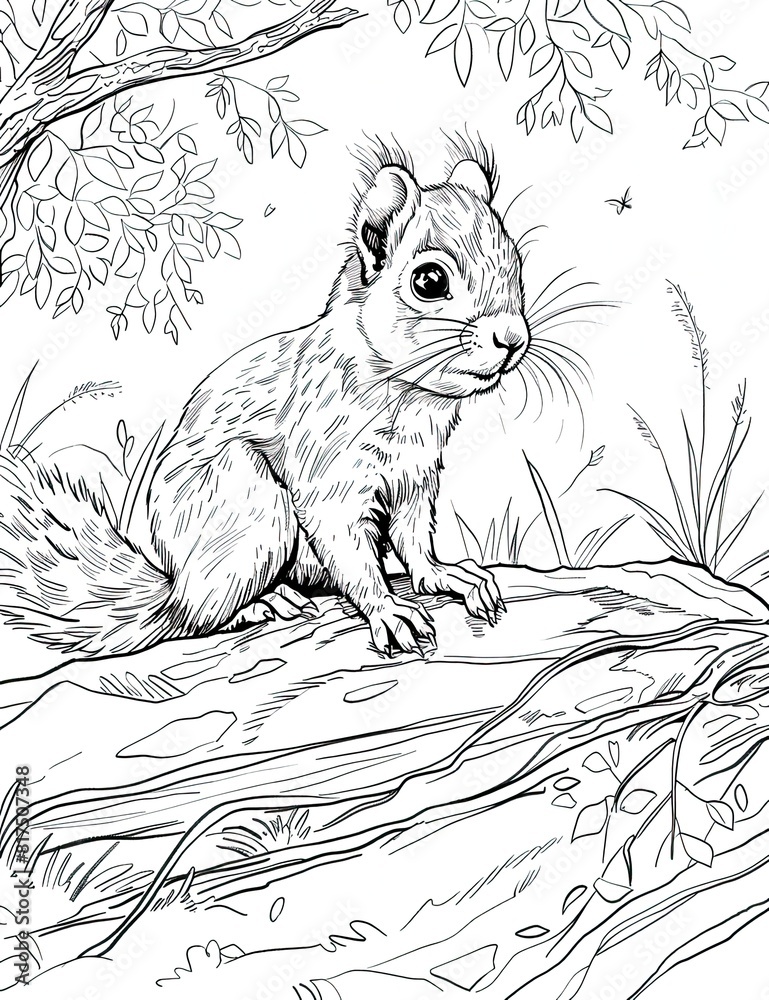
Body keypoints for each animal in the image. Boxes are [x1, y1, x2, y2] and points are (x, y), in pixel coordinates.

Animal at [0, 138, 531, 659]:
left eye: (516, 265)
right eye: (429, 281)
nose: (512, 338)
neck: (410, 397)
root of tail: (174, 578)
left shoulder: (415, 479)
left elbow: (415, 542)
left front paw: (451, 576)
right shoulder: (329, 475)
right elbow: (351, 552)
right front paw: (388, 612)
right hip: (252, 508)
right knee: (189, 617)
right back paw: (259, 605)